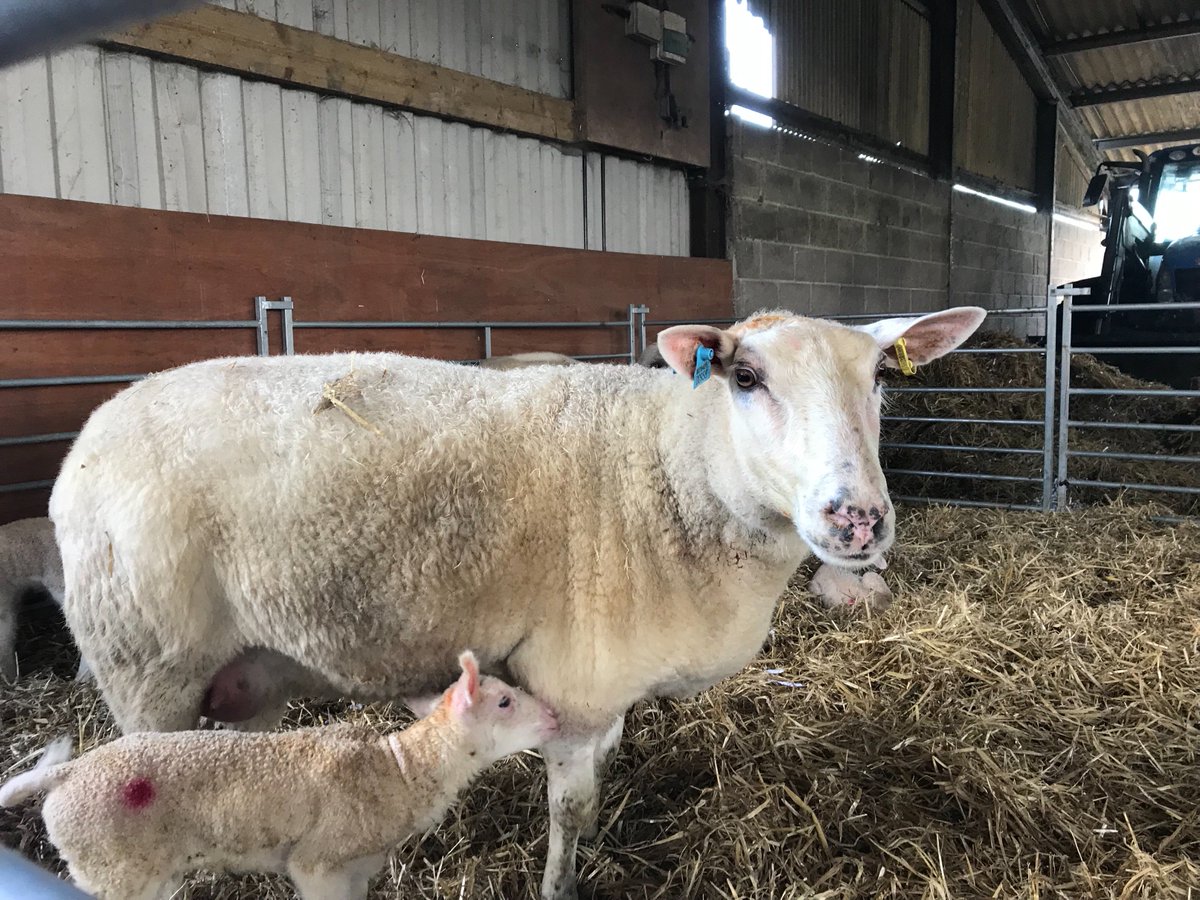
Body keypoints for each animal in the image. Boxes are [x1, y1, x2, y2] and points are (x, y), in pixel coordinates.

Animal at [0, 651, 558, 900]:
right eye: (504, 701)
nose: (554, 717)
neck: (397, 770)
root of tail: (70, 772)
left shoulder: (359, 866)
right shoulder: (320, 862)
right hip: (112, 869)